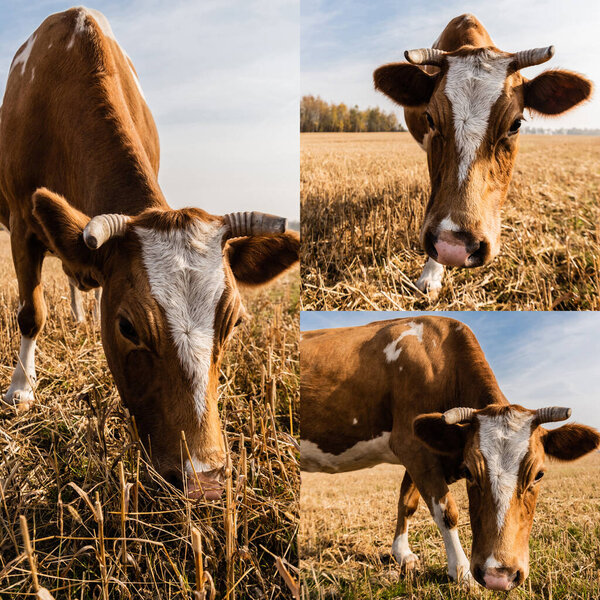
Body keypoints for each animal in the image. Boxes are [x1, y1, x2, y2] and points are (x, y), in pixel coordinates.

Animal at [0, 7, 300, 500]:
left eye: (235, 322)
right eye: (127, 327)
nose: (203, 479)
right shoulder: (23, 224)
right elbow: (31, 314)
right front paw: (21, 389)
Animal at [300, 318, 600, 592]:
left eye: (539, 474)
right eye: (469, 471)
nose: (499, 576)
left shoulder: (421, 450)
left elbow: (407, 502)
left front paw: (402, 553)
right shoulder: (412, 445)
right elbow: (446, 512)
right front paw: (462, 572)